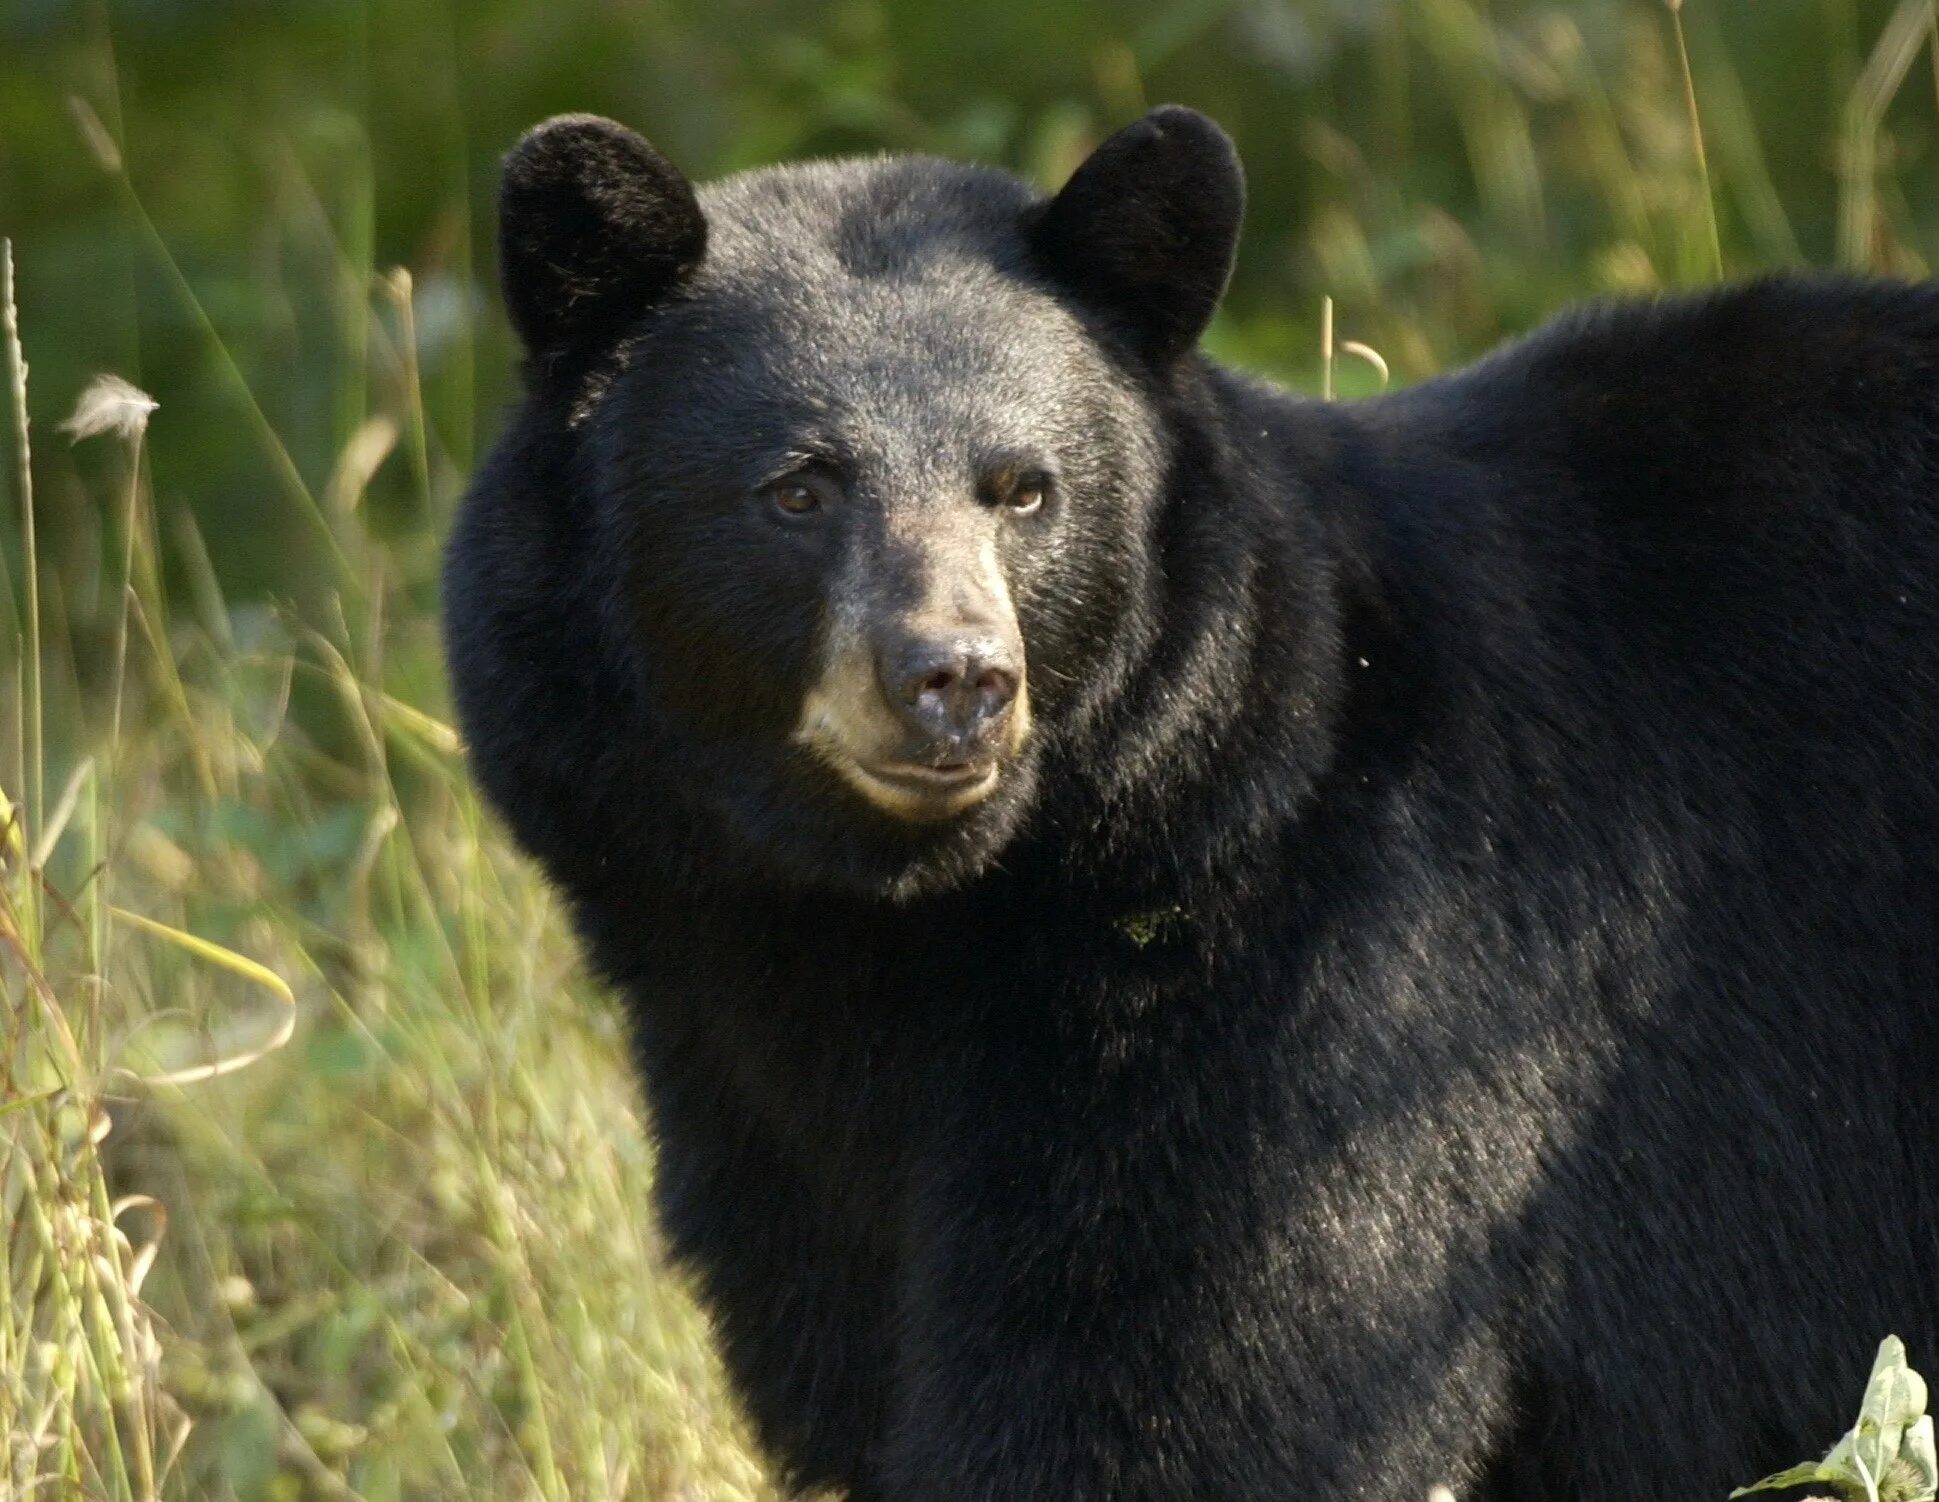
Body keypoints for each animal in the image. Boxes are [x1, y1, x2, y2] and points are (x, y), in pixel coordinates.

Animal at [445, 108, 1939, 1502]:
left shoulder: (1343, 1002)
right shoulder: (756, 1102)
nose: (956, 679)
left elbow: (1199, 1379)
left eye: (1021, 489)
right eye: (797, 487)